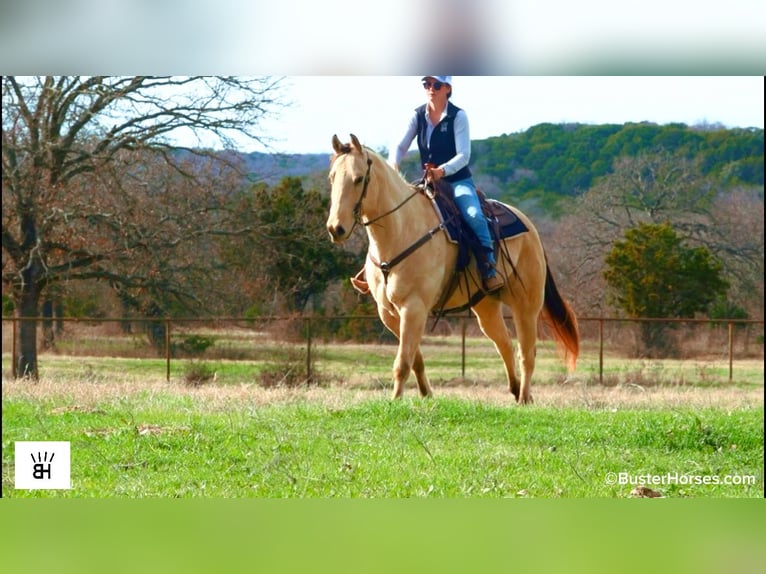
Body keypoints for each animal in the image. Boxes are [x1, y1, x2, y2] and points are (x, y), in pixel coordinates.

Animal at [326, 134, 579, 404]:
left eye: (358, 178)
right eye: (332, 177)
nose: (336, 228)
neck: (401, 231)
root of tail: (530, 228)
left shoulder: (414, 307)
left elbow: (402, 362)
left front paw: (395, 401)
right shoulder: (389, 313)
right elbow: (415, 359)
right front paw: (426, 395)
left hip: (526, 306)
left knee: (527, 353)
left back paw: (524, 398)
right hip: (486, 308)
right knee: (504, 344)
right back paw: (515, 389)